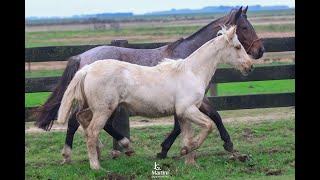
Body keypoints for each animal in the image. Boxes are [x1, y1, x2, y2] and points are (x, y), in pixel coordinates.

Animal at [31, 6, 264, 163]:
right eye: (244, 27)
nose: (259, 51)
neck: (189, 60)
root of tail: (82, 58)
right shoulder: (189, 101)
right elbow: (205, 118)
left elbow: (206, 118)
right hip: (105, 103)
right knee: (79, 122)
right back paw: (78, 153)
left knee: (87, 123)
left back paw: (104, 150)